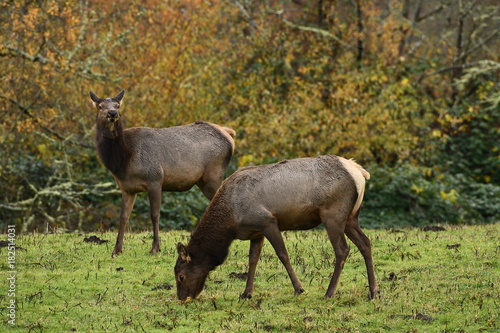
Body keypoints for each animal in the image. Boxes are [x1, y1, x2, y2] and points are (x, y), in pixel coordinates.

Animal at [89, 89, 236, 254]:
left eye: (118, 105)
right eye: (100, 106)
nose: (113, 113)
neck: (124, 159)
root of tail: (228, 133)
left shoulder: (155, 178)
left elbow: (154, 214)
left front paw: (155, 248)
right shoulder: (127, 188)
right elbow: (123, 216)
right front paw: (117, 249)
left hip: (214, 173)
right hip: (202, 181)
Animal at [176, 154, 378, 300]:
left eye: (180, 276)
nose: (182, 298)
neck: (231, 222)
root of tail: (360, 173)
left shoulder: (267, 221)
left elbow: (283, 254)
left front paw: (299, 288)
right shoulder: (255, 232)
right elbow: (253, 260)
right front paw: (246, 293)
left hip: (332, 215)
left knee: (342, 250)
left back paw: (329, 292)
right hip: (351, 217)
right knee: (365, 243)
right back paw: (374, 291)